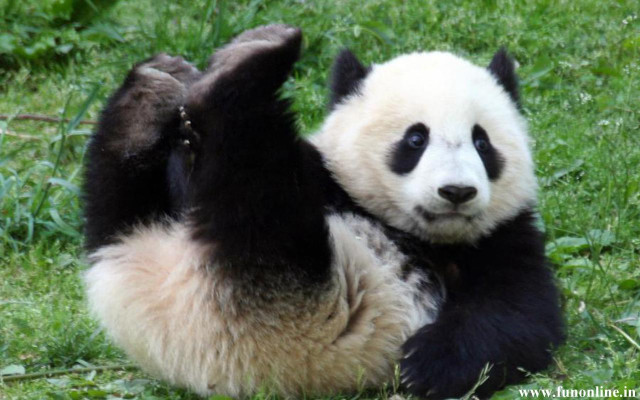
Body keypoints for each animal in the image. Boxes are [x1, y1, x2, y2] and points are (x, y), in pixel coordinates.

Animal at [83, 25, 564, 399]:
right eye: (415, 139)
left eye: (482, 142)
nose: (457, 191)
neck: (413, 233)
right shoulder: (326, 176)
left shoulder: (504, 237)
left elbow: (518, 316)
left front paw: (426, 366)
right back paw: (160, 93)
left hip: (289, 286)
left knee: (251, 197)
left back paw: (233, 73)